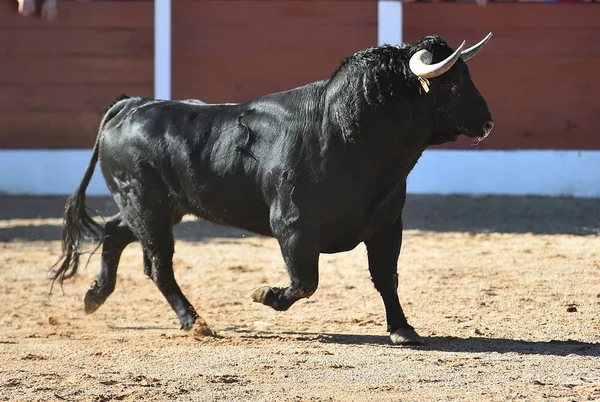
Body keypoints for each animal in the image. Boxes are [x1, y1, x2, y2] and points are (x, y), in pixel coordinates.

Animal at [50, 33, 492, 346]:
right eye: (452, 85)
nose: (488, 122)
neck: (346, 131)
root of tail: (131, 105)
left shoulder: (386, 225)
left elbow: (386, 277)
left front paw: (403, 329)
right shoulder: (292, 226)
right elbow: (304, 282)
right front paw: (263, 293)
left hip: (159, 207)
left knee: (114, 232)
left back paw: (94, 296)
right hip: (148, 206)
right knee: (158, 265)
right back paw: (194, 321)